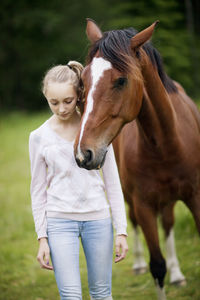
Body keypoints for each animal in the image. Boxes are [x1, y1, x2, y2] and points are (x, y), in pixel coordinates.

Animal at [73, 19, 200, 298]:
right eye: (83, 81)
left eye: (121, 81)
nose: (83, 152)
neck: (167, 145)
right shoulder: (143, 205)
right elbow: (157, 266)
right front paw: (152, 266)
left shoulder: (196, 198)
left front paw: (175, 273)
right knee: (133, 221)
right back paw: (140, 264)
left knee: (168, 224)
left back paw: (178, 274)